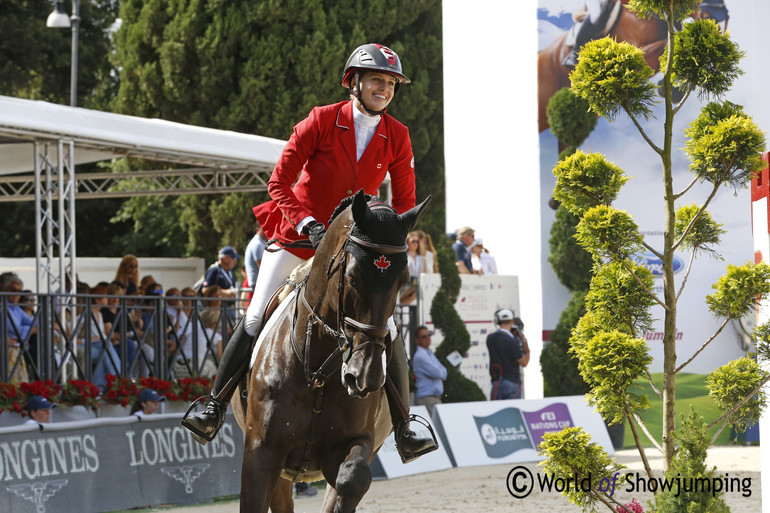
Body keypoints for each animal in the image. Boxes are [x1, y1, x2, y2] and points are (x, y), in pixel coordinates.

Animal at [231, 190, 428, 510]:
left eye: (403, 281)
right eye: (353, 277)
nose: (365, 377)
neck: (317, 370)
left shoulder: (357, 443)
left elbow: (352, 478)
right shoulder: (261, 452)